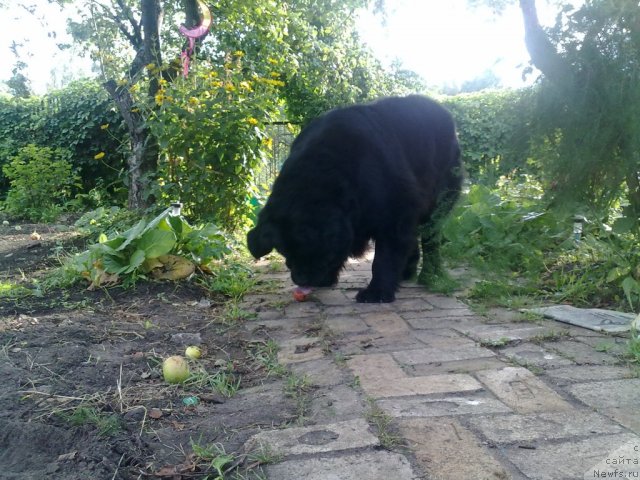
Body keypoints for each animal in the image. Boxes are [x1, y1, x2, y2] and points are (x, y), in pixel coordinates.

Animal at [245, 95, 460, 302]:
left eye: (310, 249)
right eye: (284, 252)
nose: (300, 279)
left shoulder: (395, 211)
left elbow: (384, 255)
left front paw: (377, 292)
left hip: (439, 199)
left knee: (431, 237)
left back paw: (431, 275)